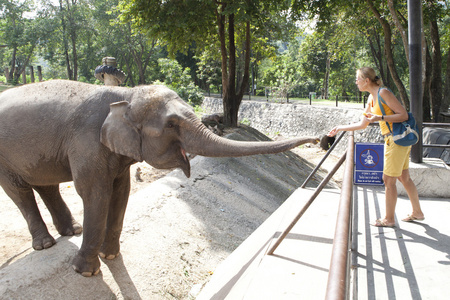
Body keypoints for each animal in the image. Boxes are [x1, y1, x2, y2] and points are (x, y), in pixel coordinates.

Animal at [0, 79, 316, 276]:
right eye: (172, 124)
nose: (320, 138)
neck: (125, 94)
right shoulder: (87, 142)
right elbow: (95, 193)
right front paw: (85, 272)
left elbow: (121, 191)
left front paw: (110, 256)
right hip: (3, 158)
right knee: (20, 190)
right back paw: (46, 244)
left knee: (46, 184)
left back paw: (72, 230)